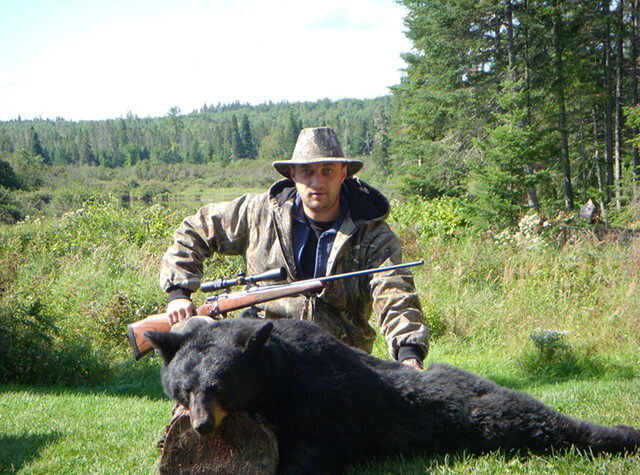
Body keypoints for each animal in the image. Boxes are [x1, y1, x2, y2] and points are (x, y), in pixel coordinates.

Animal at [146, 318, 640, 474]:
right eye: (184, 388)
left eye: (219, 386)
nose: (201, 425)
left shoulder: (325, 406)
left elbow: (313, 453)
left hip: (487, 414)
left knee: (535, 419)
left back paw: (620, 433)